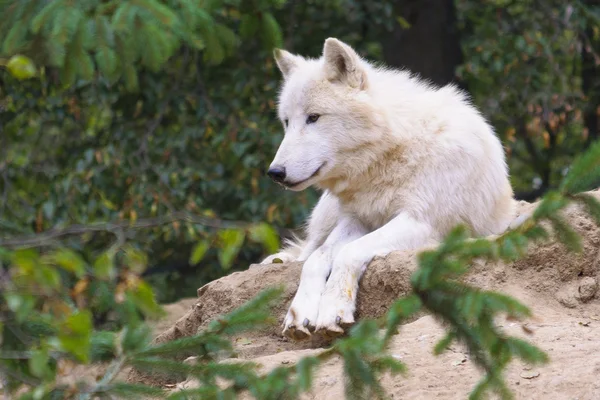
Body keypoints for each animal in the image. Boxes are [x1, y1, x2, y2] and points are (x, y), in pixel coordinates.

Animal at [260, 37, 512, 340]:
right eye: (287, 122)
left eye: (314, 117)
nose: (275, 172)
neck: (392, 153)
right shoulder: (357, 220)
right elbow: (317, 259)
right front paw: (300, 313)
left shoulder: (422, 223)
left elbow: (348, 253)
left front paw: (333, 309)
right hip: (327, 213)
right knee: (306, 250)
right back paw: (277, 261)